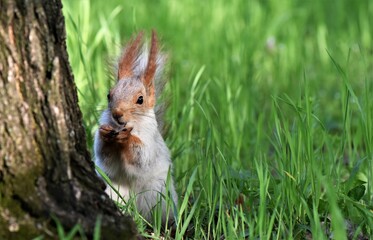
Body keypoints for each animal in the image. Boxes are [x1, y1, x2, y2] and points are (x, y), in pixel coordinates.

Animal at [93, 31, 177, 224]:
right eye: (109, 95)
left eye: (140, 99)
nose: (117, 114)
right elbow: (104, 155)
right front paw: (105, 135)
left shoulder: (150, 138)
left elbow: (141, 157)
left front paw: (127, 139)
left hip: (158, 194)